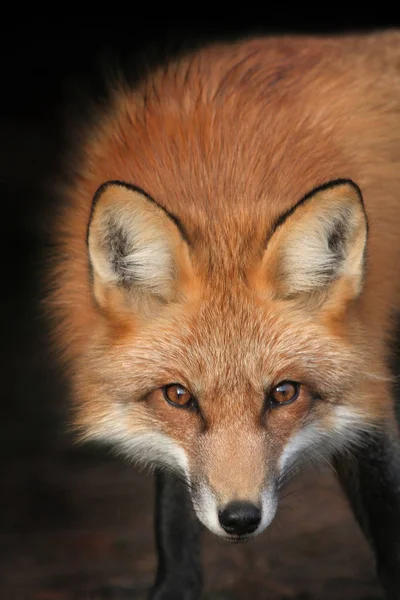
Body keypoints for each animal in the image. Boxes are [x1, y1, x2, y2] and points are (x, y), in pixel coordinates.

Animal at [48, 31, 400, 600]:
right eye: (178, 397)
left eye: (284, 393)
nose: (239, 518)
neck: (220, 180)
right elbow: (174, 511)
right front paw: (176, 585)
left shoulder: (369, 388)